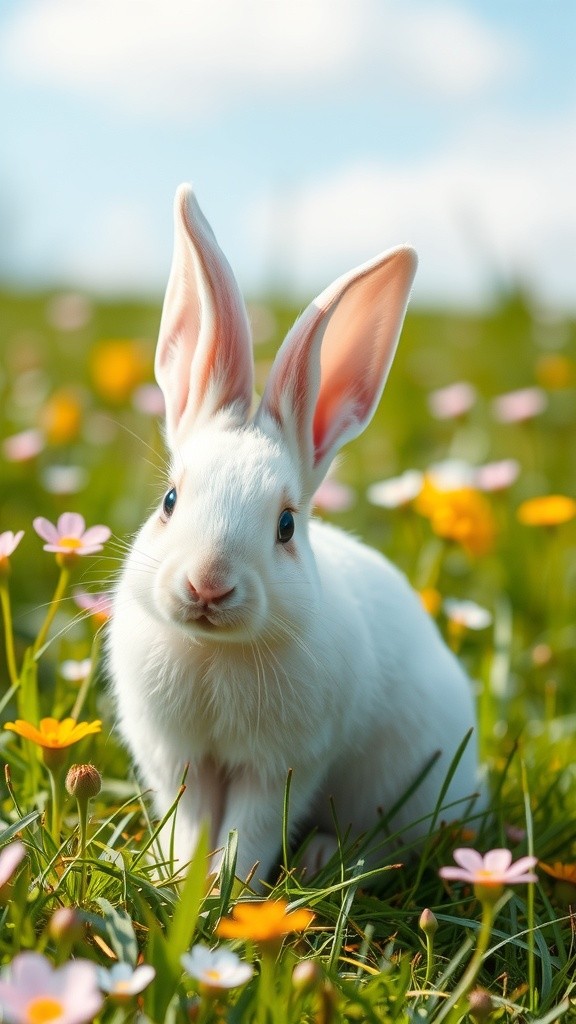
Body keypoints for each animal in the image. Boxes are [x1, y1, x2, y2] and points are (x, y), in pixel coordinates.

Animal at [108, 183, 483, 885]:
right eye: (170, 500)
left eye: (285, 525)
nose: (208, 585)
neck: (216, 651)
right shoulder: (179, 760)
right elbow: (190, 819)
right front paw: (179, 877)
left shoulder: (281, 767)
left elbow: (250, 827)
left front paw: (229, 885)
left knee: (389, 844)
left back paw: (319, 860)